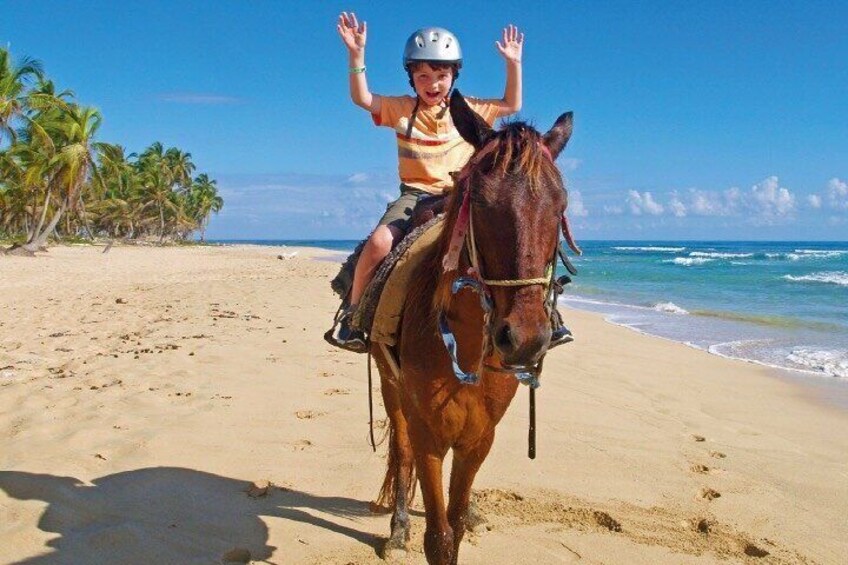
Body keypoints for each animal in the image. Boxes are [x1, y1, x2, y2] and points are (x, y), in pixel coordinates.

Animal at [372, 90, 576, 560]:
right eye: (480, 203)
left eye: (560, 206)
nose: (525, 339)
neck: (463, 345)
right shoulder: (429, 435)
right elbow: (439, 537)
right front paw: (412, 531)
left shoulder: (479, 438)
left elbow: (458, 515)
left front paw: (468, 514)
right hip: (391, 388)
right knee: (400, 452)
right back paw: (398, 530)